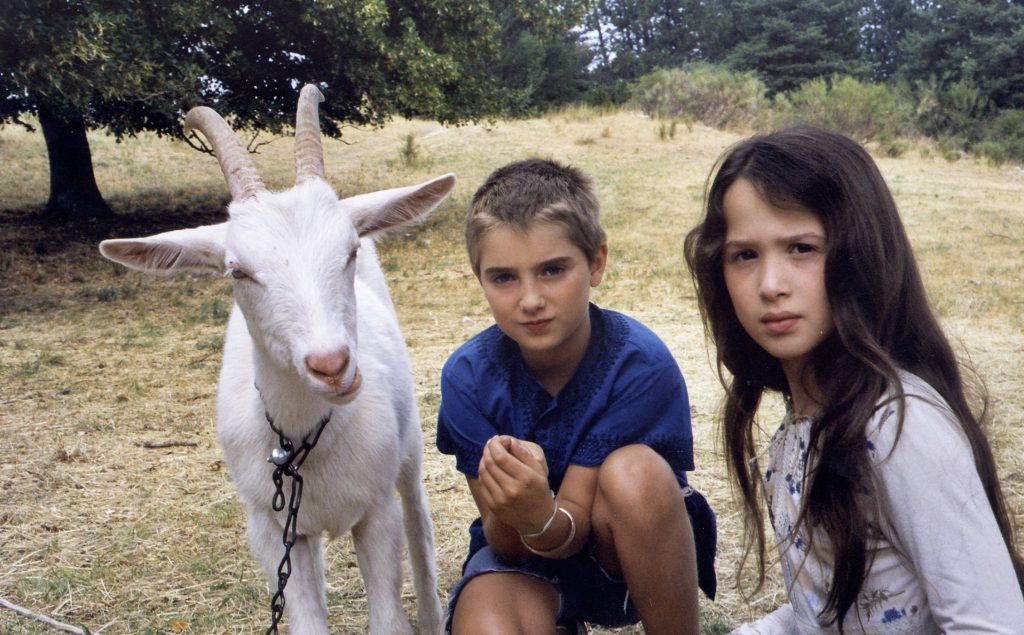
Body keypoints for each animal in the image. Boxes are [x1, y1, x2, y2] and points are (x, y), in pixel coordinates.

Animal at [96, 85, 456, 635]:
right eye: (237, 271)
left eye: (349, 250)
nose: (331, 365)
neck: (305, 441)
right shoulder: (269, 527)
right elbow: (305, 619)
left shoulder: (376, 514)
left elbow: (388, 617)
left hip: (410, 445)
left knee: (419, 517)